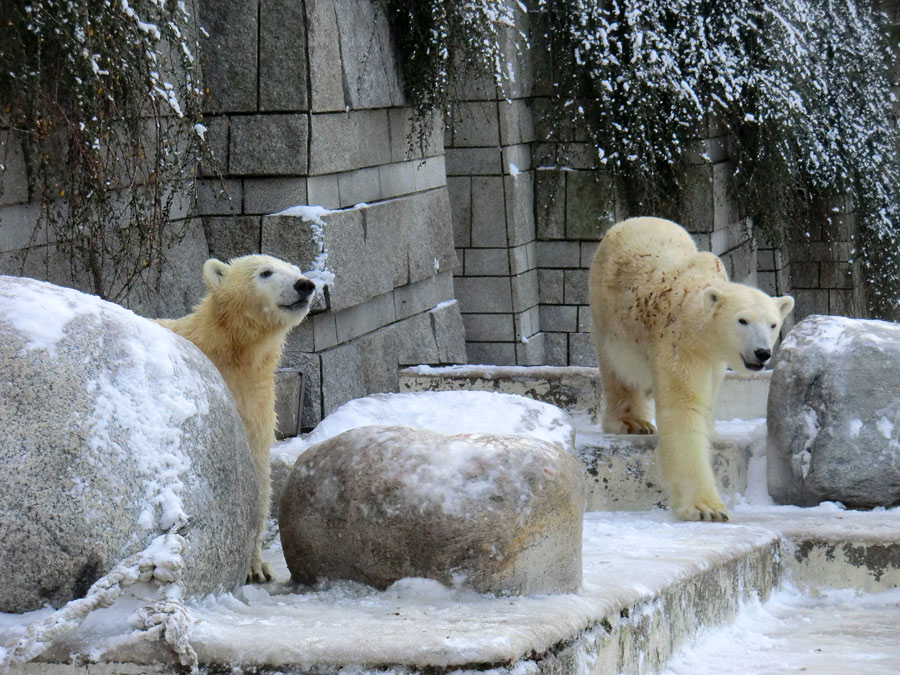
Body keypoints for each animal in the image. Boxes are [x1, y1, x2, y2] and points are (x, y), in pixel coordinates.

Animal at [158, 254, 316, 580]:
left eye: (295, 270)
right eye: (266, 272)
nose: (305, 284)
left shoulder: (255, 402)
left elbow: (257, 476)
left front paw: (257, 567)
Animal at [592, 218, 796, 524]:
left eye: (773, 324)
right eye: (743, 321)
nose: (762, 352)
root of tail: (633, 221)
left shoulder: (713, 359)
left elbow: (708, 394)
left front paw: (710, 428)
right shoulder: (681, 345)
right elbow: (684, 408)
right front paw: (707, 508)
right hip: (607, 308)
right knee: (616, 368)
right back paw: (631, 421)